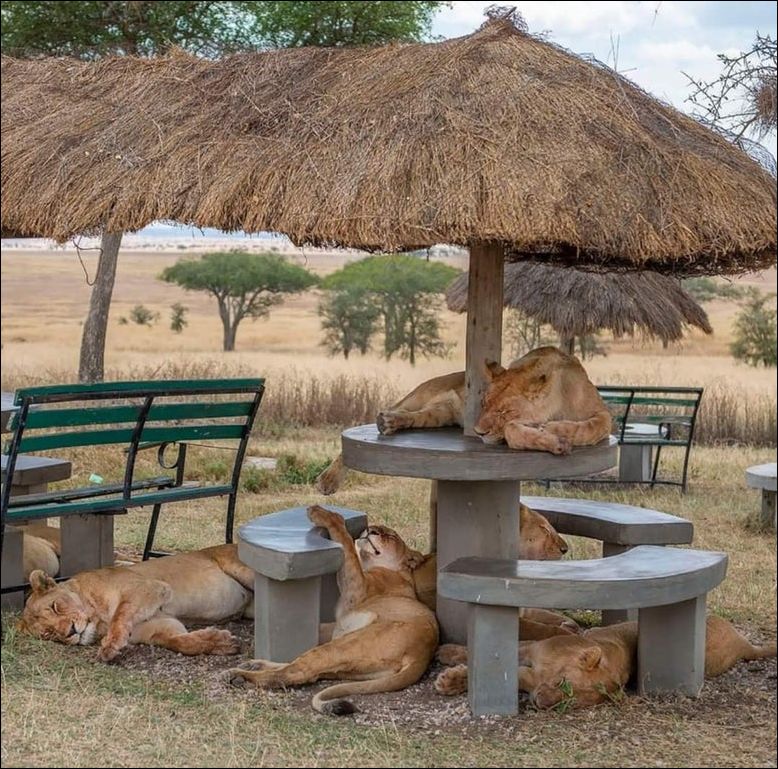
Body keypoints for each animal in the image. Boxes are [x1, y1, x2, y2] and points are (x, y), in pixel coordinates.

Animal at [18, 544, 253, 661]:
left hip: (243, 570)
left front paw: (110, 647)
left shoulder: (149, 587)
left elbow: (120, 615)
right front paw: (221, 641)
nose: (70, 632)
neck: (98, 621)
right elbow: (179, 642)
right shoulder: (161, 626)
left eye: (55, 607)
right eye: (49, 634)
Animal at [226, 506, 439, 716]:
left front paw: (325, 514)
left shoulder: (357, 588)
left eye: (392, 535)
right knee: (305, 667)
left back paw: (240, 676)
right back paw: (253, 665)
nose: (371, 529)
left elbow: (347, 544)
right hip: (349, 662)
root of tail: (421, 656)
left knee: (297, 672)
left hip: (345, 646)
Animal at [316, 346, 611, 495]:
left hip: (440, 413)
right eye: (484, 403)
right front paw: (553, 439)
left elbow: (592, 426)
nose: (478, 432)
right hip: (420, 394)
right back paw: (328, 479)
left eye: (504, 411)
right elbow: (513, 432)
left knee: (418, 418)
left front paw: (559, 430)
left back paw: (390, 423)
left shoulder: (604, 413)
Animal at [435, 616, 777, 708]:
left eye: (571, 703)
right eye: (563, 684)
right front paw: (448, 655)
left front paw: (453, 679)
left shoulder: (532, 675)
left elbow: (514, 674)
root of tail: (744, 644)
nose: (540, 704)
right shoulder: (533, 649)